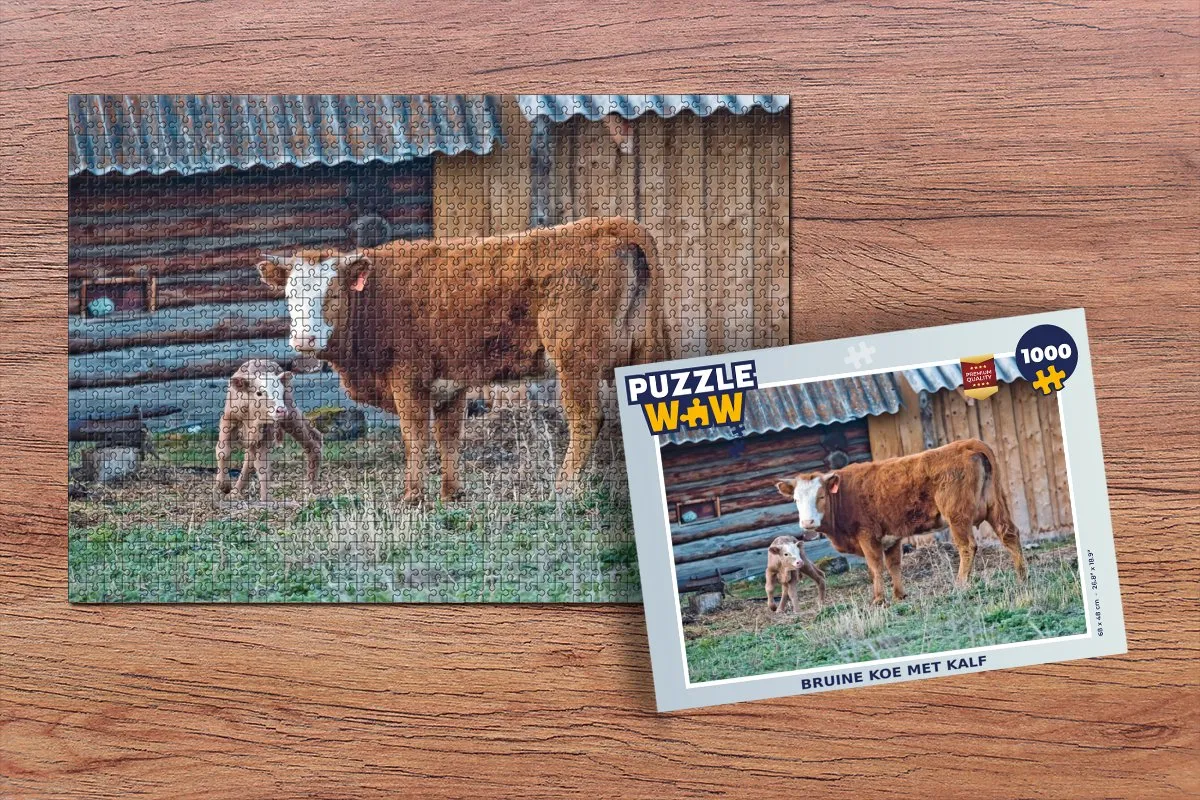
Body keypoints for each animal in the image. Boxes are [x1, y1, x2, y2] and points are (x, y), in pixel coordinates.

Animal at [258, 216, 670, 505]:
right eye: (289, 296)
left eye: (332, 296)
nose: (303, 339)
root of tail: (611, 225)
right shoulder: (450, 384)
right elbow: (449, 437)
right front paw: (451, 492)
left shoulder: (408, 379)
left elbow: (415, 438)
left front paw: (413, 497)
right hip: (643, 347)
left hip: (574, 357)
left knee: (586, 419)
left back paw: (564, 486)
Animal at [775, 439, 1027, 605]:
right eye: (796, 499)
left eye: (820, 496)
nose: (807, 522)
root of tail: (969, 443)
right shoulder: (892, 537)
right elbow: (893, 564)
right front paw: (899, 595)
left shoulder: (867, 535)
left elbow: (875, 566)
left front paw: (879, 600)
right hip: (996, 504)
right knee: (1009, 534)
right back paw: (1021, 575)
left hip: (957, 515)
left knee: (967, 547)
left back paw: (960, 583)